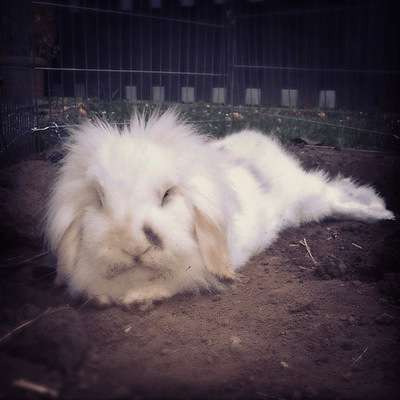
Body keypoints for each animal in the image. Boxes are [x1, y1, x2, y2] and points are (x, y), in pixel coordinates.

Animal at [45, 108, 396, 306]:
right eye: (99, 199)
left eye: (167, 194)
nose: (132, 246)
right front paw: (103, 300)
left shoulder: (193, 272)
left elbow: (174, 282)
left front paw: (138, 299)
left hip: (307, 197)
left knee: (336, 193)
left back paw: (381, 212)